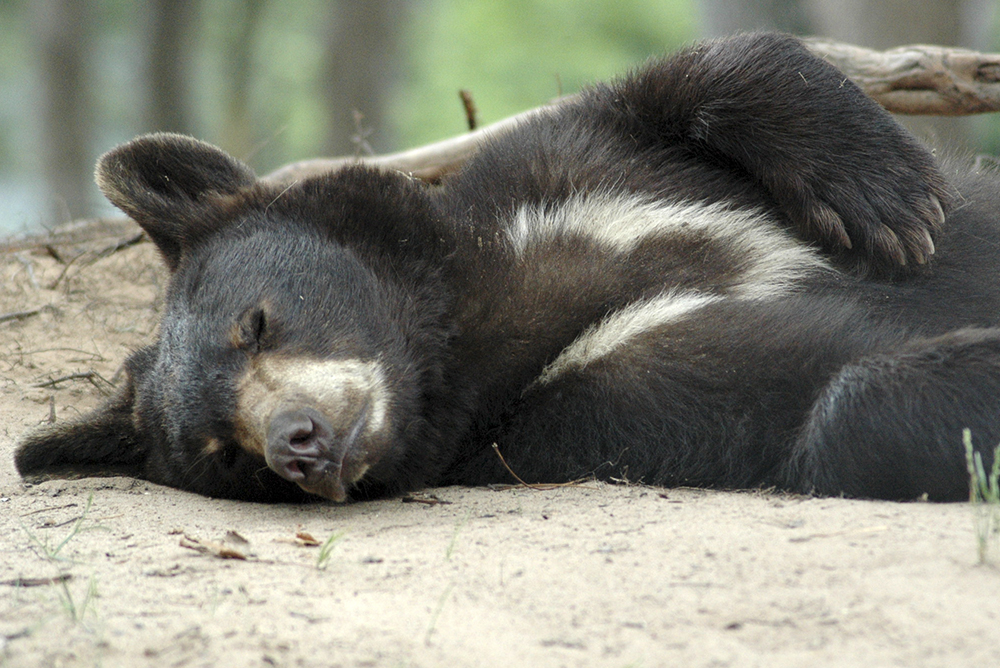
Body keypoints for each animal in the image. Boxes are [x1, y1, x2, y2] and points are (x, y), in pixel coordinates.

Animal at [13, 32, 1000, 500]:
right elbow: (803, 392)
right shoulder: (571, 413)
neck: (469, 318)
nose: (299, 442)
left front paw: (889, 200)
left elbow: (679, 85)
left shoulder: (567, 177)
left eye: (254, 323)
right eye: (226, 452)